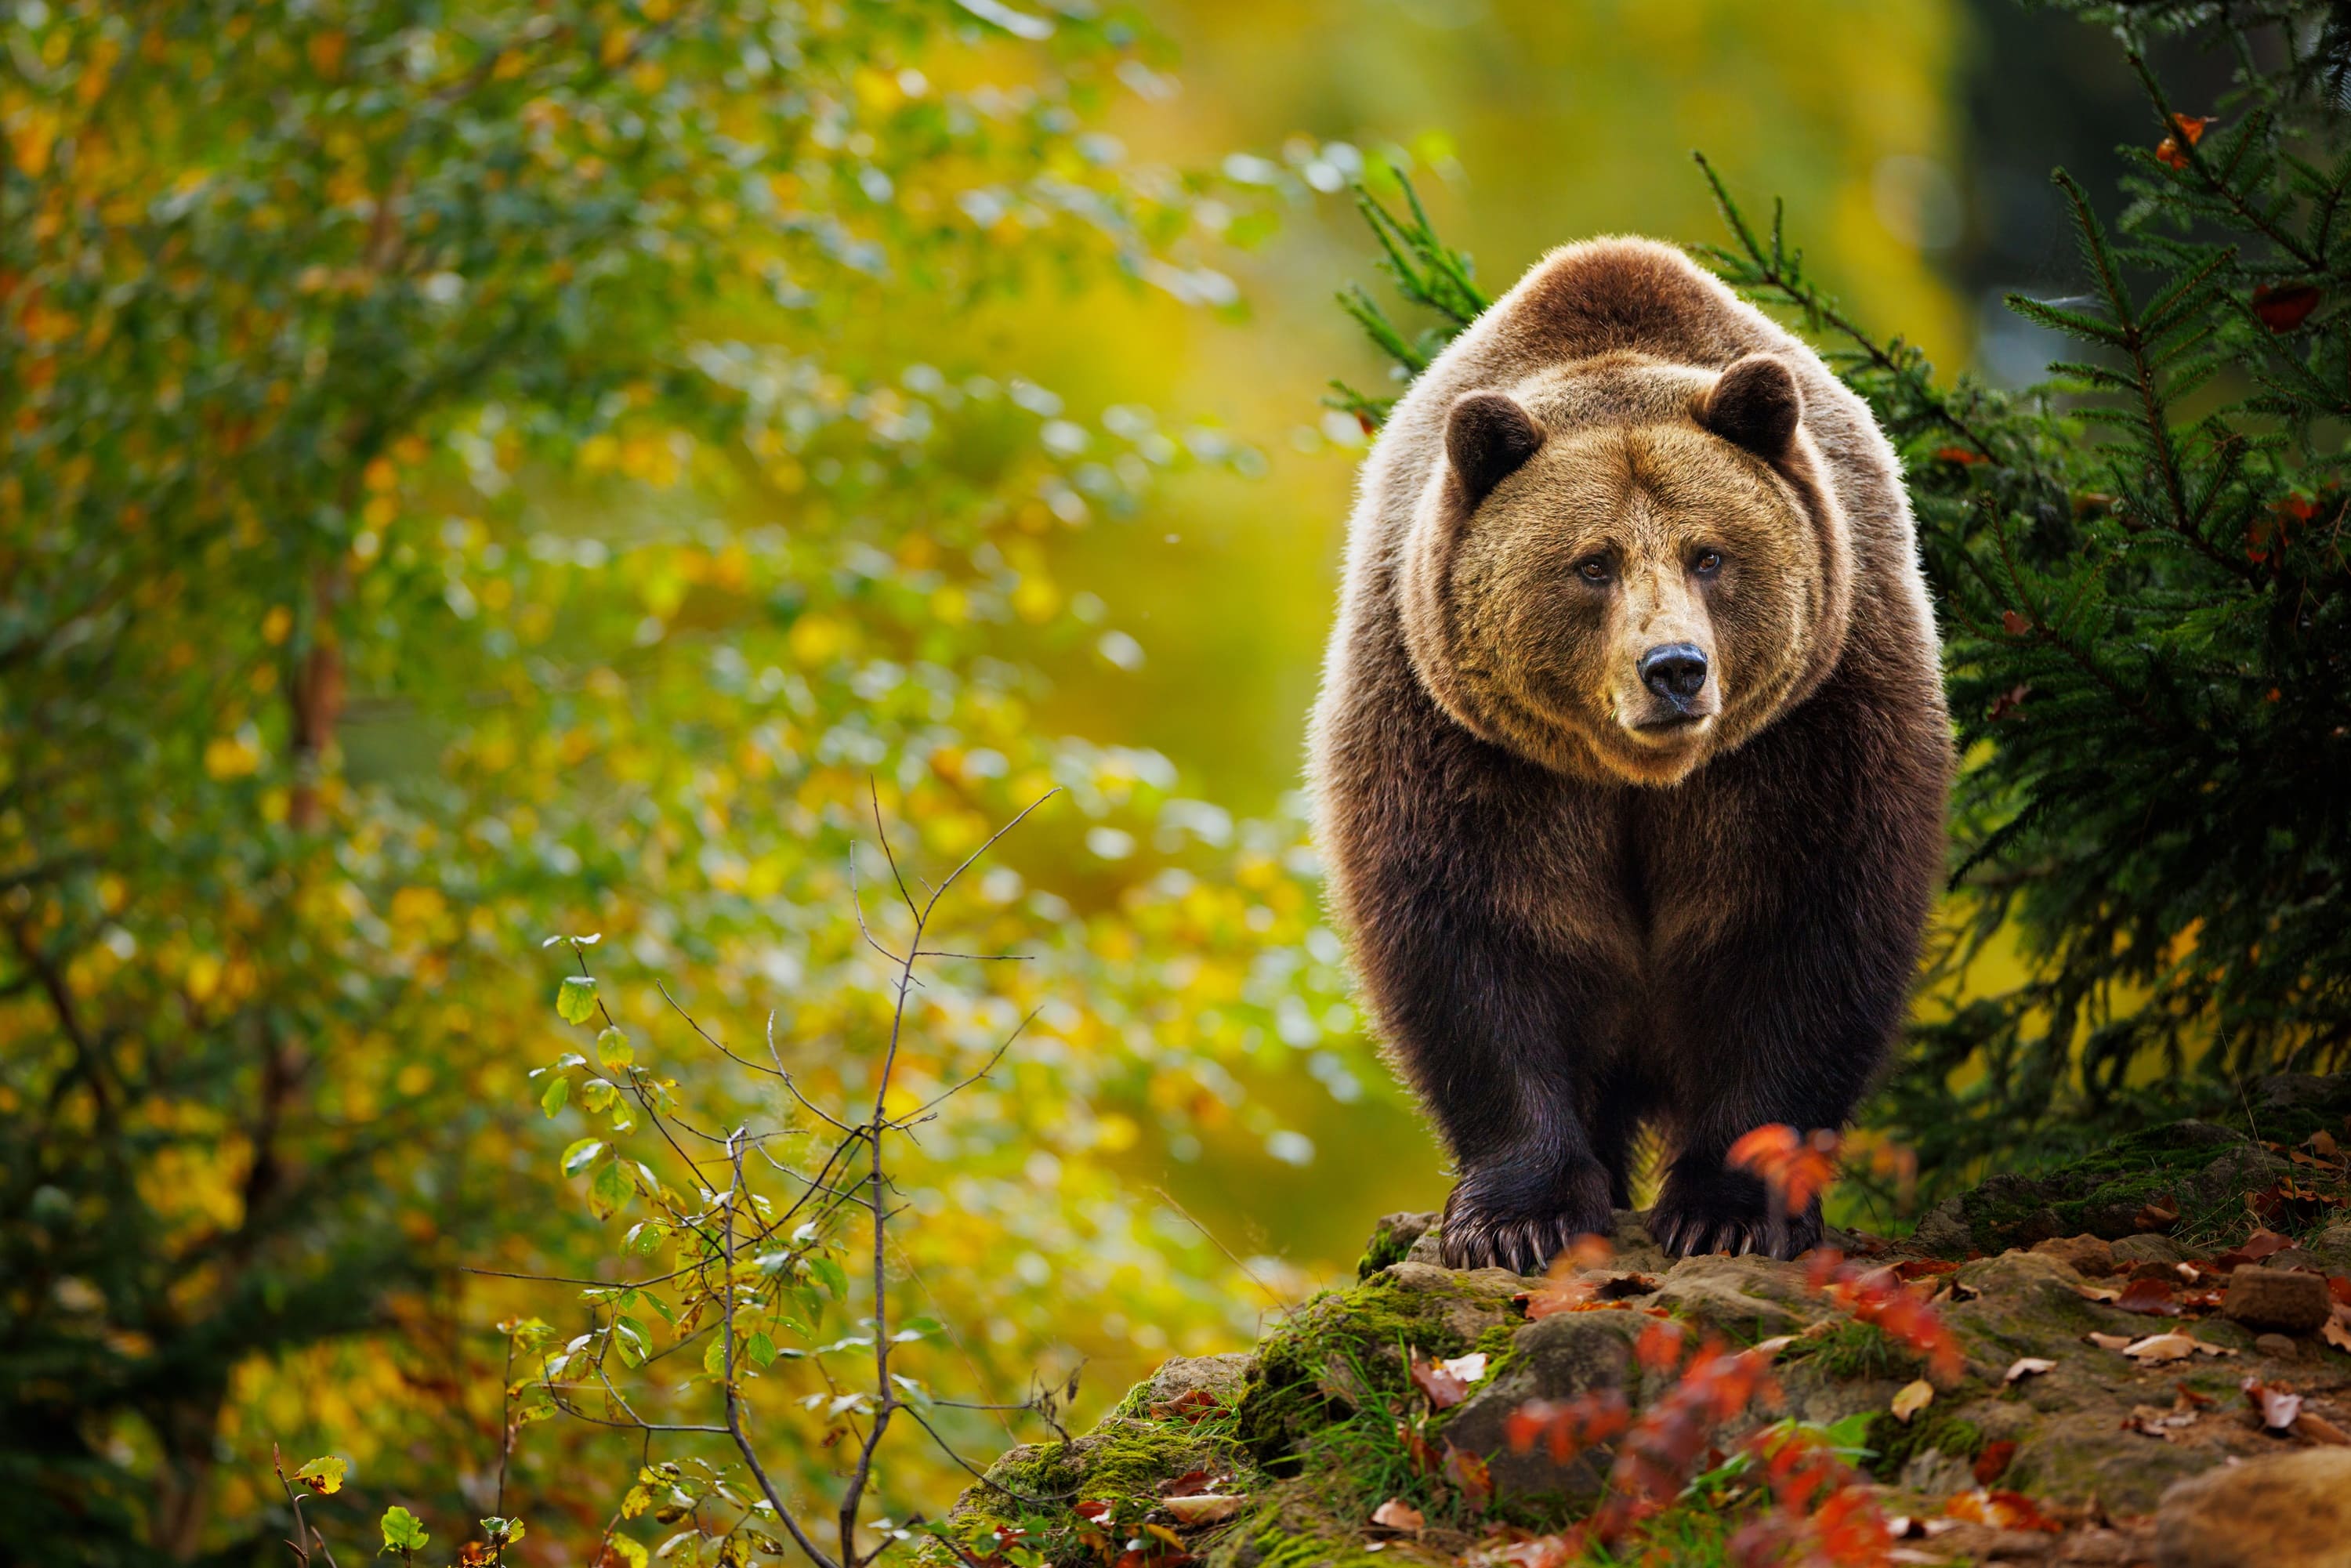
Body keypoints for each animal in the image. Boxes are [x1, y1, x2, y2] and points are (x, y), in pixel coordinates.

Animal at [1317, 240, 1956, 1279]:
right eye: (1592, 562)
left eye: (1710, 554)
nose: (1676, 668)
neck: (1637, 779)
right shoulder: (1466, 747)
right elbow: (1482, 942)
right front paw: (1516, 1217)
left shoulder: (1811, 731)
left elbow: (1798, 936)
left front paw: (1728, 1210)